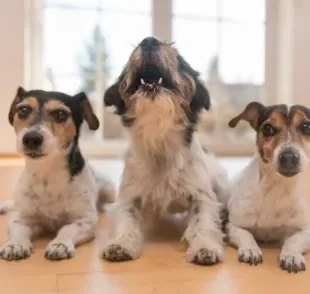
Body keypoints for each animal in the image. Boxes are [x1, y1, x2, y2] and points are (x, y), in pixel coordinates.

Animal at [0, 86, 115, 260]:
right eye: (23, 110)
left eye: (60, 114)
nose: (31, 138)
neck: (47, 172)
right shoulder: (21, 217)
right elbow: (18, 227)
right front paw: (15, 244)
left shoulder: (84, 220)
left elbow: (68, 229)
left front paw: (60, 244)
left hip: (109, 191)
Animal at [100, 36, 229, 264]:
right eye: (126, 65)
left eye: (179, 59)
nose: (148, 40)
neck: (159, 137)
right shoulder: (129, 196)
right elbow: (126, 218)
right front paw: (121, 244)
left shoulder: (202, 195)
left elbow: (203, 221)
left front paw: (205, 247)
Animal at [226, 101, 310, 274]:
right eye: (268, 128)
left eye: (306, 126)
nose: (289, 157)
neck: (276, 187)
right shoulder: (232, 225)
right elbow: (246, 235)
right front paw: (251, 249)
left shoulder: (305, 231)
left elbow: (294, 240)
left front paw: (292, 255)